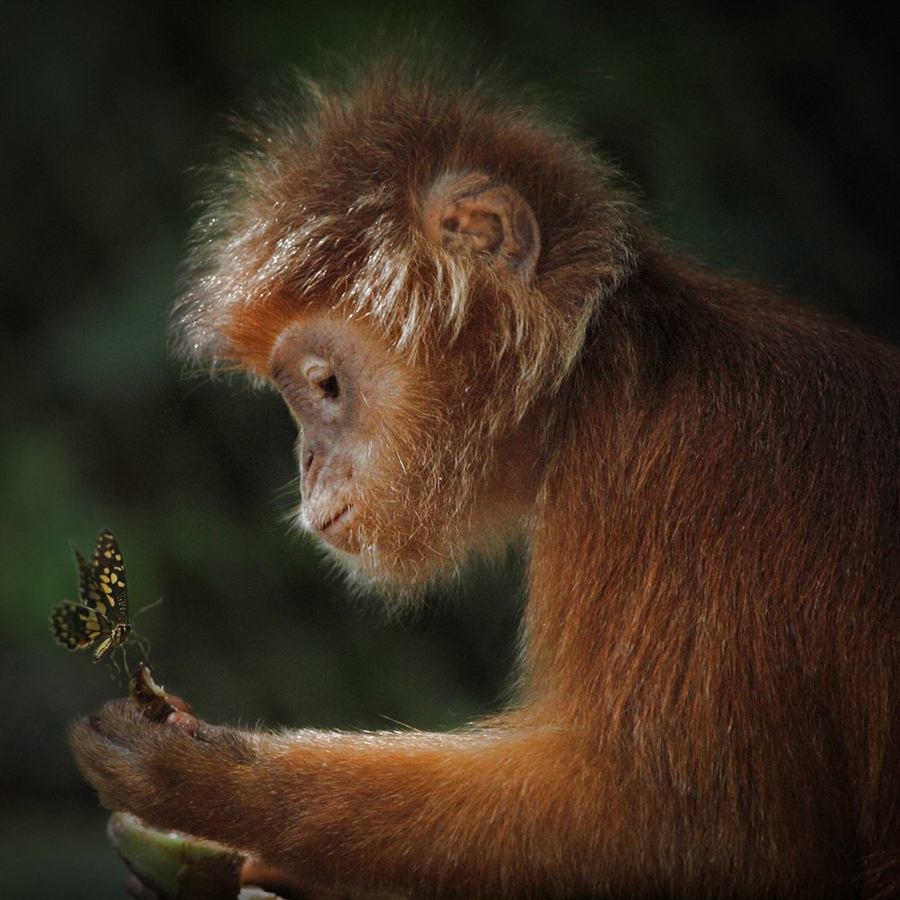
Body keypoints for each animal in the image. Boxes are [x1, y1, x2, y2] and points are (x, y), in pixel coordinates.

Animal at [68, 59, 900, 896]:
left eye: (326, 385)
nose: (307, 470)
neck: (585, 380)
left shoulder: (664, 478)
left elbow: (707, 833)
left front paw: (213, 782)